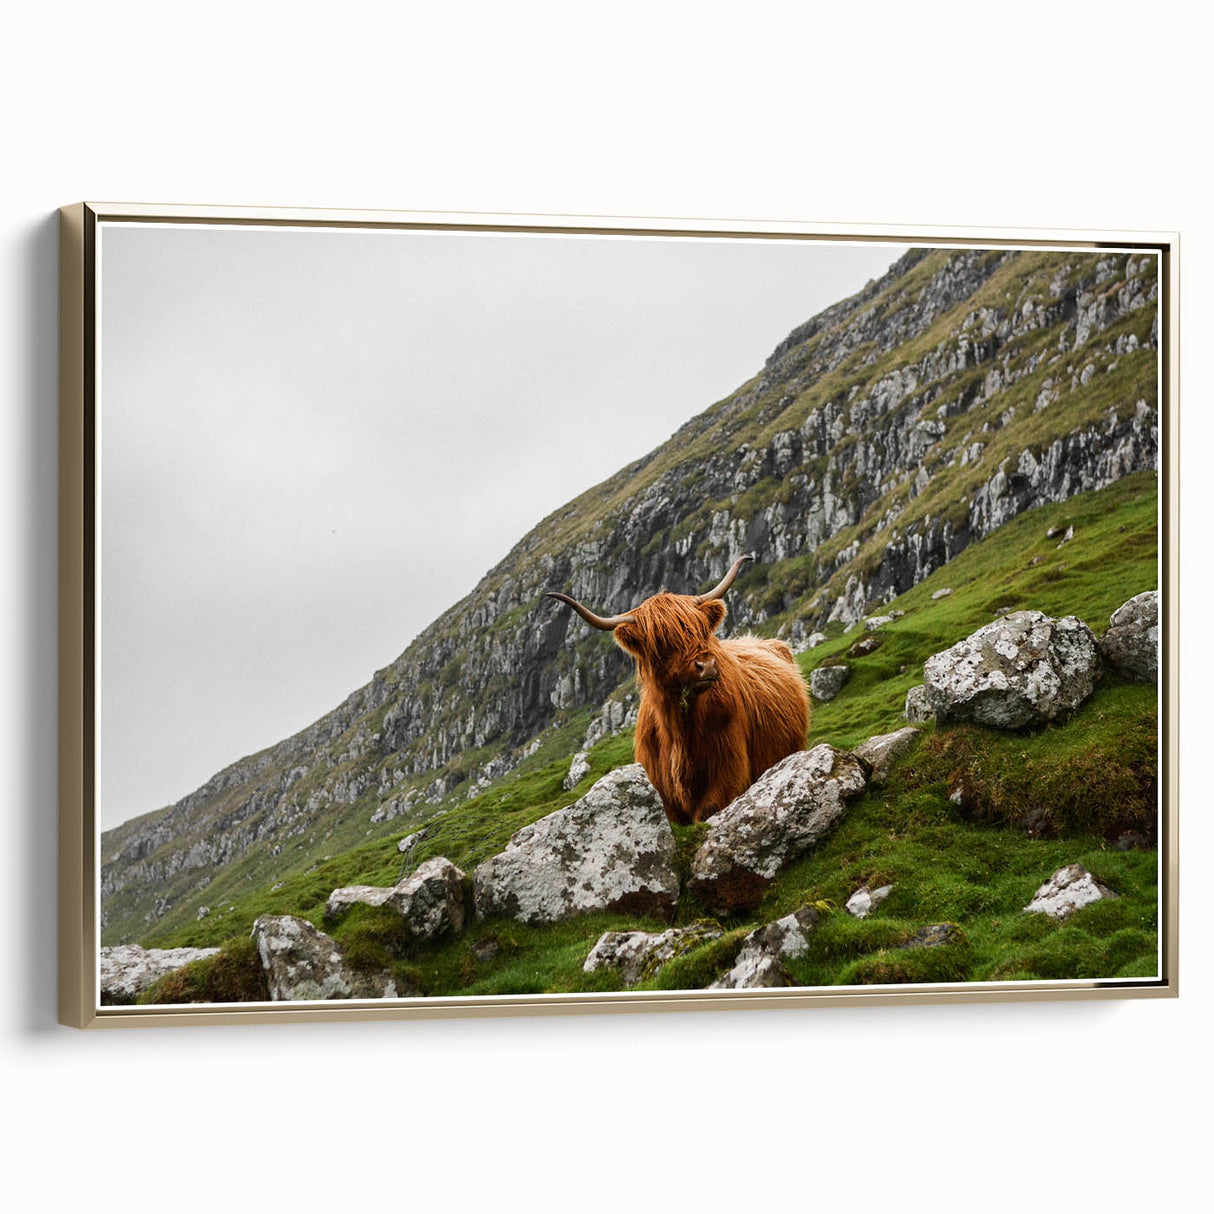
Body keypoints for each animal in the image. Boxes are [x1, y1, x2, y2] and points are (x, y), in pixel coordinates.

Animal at [546, 554, 810, 825]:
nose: (707, 666)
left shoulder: (728, 774)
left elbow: (707, 811)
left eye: (702, 630)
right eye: (661, 642)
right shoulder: (663, 794)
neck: (680, 733)